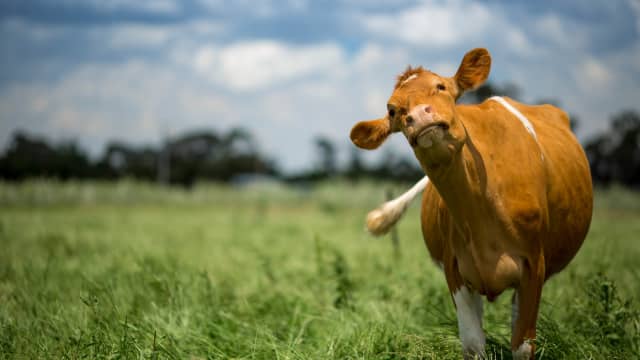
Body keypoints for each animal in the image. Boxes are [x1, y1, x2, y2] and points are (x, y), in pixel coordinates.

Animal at [350, 48, 596, 360]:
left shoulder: (534, 266)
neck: (481, 206)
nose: (418, 116)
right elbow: (473, 344)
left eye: (441, 86)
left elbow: (522, 345)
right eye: (393, 110)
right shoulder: (455, 269)